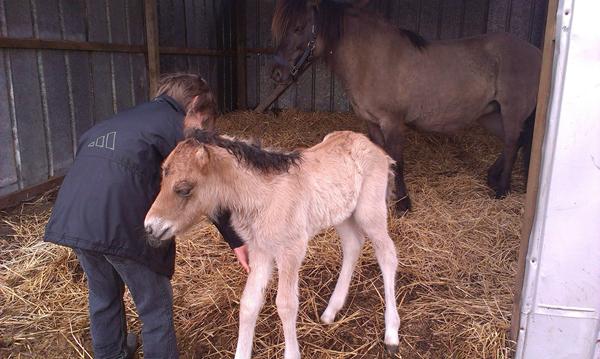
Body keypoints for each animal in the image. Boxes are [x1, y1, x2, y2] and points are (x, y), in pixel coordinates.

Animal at [144, 131, 404, 358]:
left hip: (369, 211)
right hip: (342, 214)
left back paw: (391, 334)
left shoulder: (291, 250)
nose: (150, 227)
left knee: (387, 255)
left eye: (183, 189)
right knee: (352, 245)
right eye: (162, 179)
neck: (262, 196)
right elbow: (249, 303)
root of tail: (376, 149)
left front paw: (292, 354)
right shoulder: (260, 250)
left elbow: (286, 305)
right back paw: (331, 311)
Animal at [270, 0, 540, 212]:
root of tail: (535, 51)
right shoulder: (372, 122)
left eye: (298, 27)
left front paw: (403, 205)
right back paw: (493, 177)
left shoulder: (393, 122)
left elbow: (397, 160)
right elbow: (383, 158)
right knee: (516, 142)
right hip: (492, 115)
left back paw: (501, 190)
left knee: (512, 143)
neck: (370, 60)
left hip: (512, 112)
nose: (276, 73)